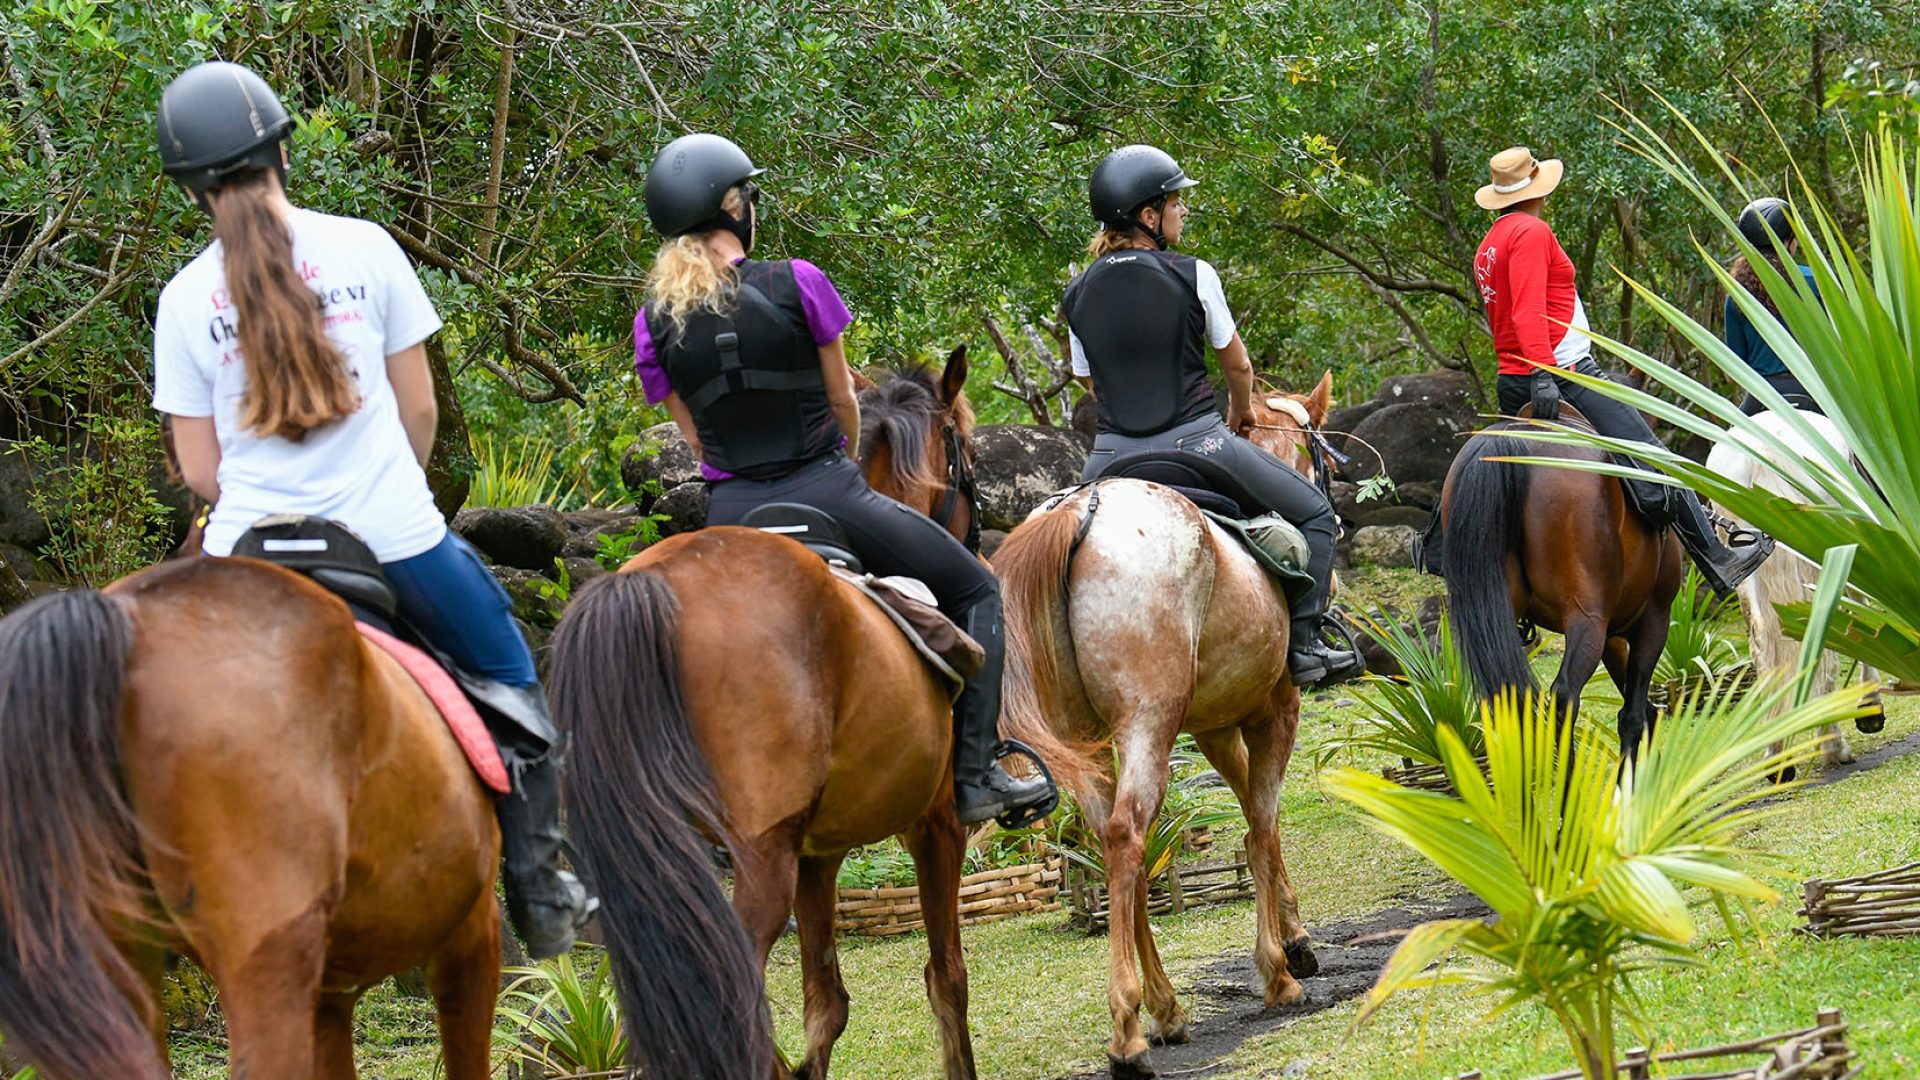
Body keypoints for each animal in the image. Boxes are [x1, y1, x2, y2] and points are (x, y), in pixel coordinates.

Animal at [990, 372, 1336, 1076]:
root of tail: (1082, 510)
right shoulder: (1275, 710)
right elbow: (1262, 826)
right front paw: (1279, 969)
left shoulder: (1214, 725)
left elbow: (1258, 821)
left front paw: (1294, 937)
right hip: (1149, 723)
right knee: (1129, 834)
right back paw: (1128, 1026)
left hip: (1091, 743)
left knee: (1109, 839)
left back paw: (1166, 1007)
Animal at [1436, 417, 1689, 753]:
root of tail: (1507, 439)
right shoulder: (1655, 617)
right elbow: (1633, 715)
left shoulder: (1613, 635)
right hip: (1589, 617)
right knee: (1564, 695)